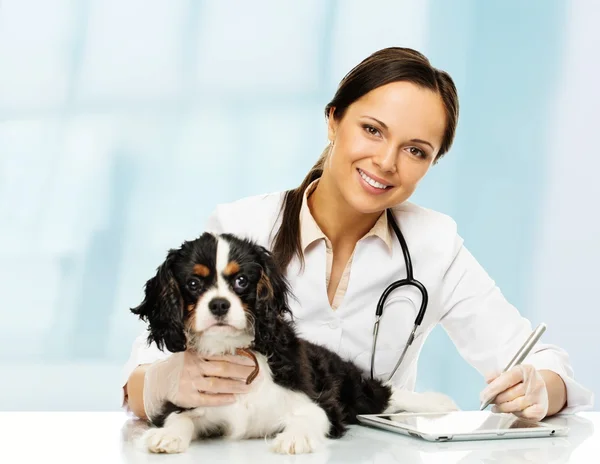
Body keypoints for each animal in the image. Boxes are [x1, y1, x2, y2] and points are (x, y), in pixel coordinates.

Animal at [131, 232, 458, 454]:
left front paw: (293, 438)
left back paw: (437, 402)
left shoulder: (322, 404)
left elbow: (310, 417)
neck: (235, 349)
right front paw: (167, 436)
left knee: (385, 394)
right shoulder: (192, 400)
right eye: (193, 284)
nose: (219, 305)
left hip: (353, 388)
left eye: (241, 281)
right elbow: (179, 417)